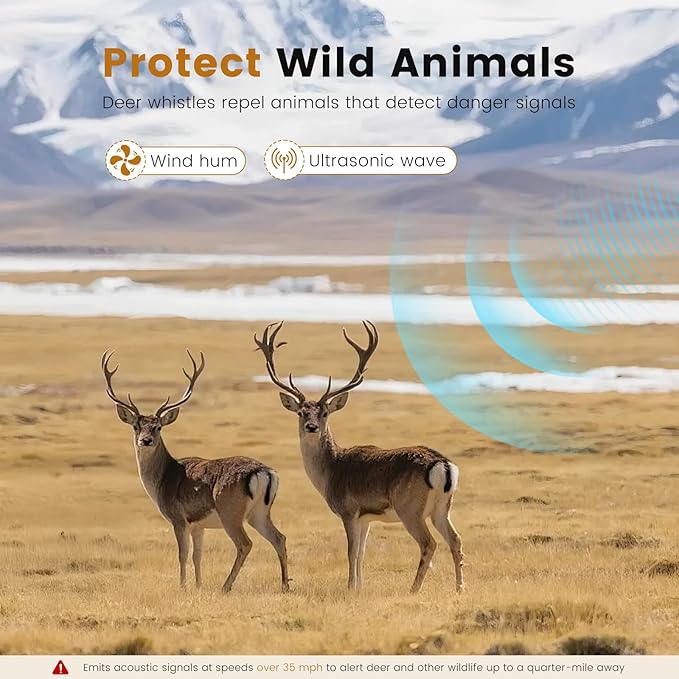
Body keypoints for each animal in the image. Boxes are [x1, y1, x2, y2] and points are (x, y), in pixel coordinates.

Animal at [101, 349, 289, 593]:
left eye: (158, 427)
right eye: (136, 426)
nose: (146, 440)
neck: (163, 480)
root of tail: (264, 472)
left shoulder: (178, 518)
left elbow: (182, 554)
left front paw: (182, 586)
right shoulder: (198, 525)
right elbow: (197, 556)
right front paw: (198, 585)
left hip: (230, 510)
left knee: (245, 544)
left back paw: (225, 586)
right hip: (259, 512)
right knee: (279, 538)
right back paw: (285, 585)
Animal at [255, 321, 464, 594]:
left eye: (324, 413)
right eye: (301, 412)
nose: (311, 427)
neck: (331, 471)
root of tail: (442, 465)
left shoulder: (348, 510)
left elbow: (351, 552)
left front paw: (350, 587)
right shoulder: (366, 517)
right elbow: (362, 553)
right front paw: (360, 587)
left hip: (410, 509)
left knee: (429, 544)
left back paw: (413, 589)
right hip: (442, 508)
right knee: (456, 540)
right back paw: (460, 588)